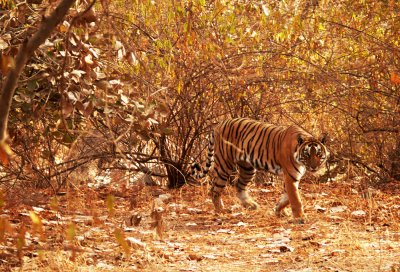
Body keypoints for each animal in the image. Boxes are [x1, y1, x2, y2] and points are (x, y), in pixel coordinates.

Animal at [192, 117, 330, 223]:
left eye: (318, 154)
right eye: (307, 155)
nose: (314, 167)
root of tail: (219, 124)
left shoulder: (292, 177)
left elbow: (287, 198)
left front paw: (279, 210)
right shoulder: (290, 176)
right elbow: (295, 199)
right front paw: (300, 218)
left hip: (247, 168)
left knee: (239, 185)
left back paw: (250, 205)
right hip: (225, 165)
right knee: (214, 189)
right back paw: (221, 210)